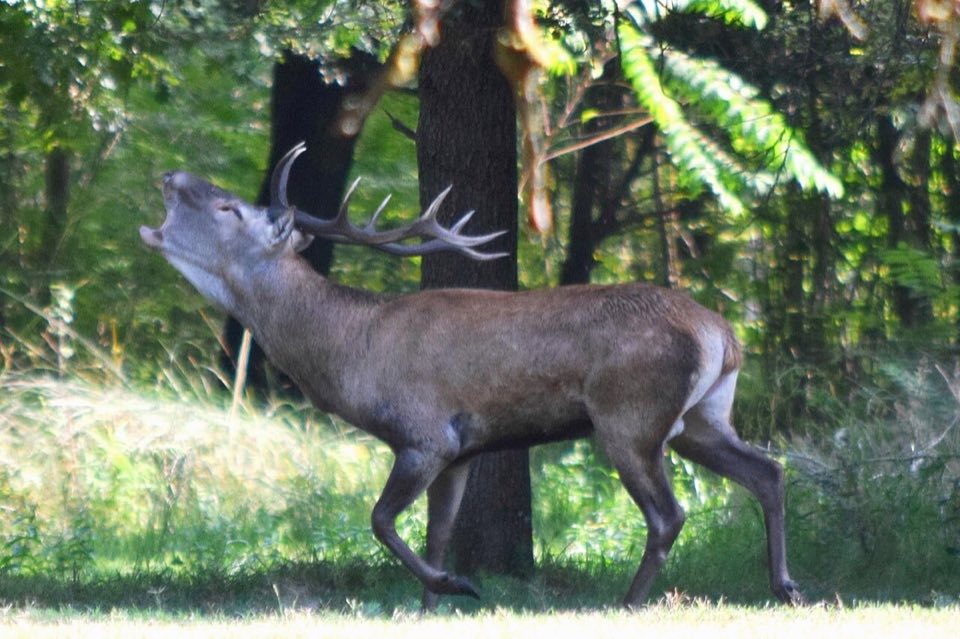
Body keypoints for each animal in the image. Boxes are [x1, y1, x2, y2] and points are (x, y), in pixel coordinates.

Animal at [139, 142, 802, 608]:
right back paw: (786, 586)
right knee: (766, 471)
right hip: (702, 418)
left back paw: (630, 603)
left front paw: (458, 586)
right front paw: (429, 604)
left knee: (669, 514)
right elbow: (436, 534)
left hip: (630, 415)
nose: (170, 176)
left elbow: (380, 521)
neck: (348, 355)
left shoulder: (426, 434)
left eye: (228, 208)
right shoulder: (461, 451)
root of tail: (725, 336)